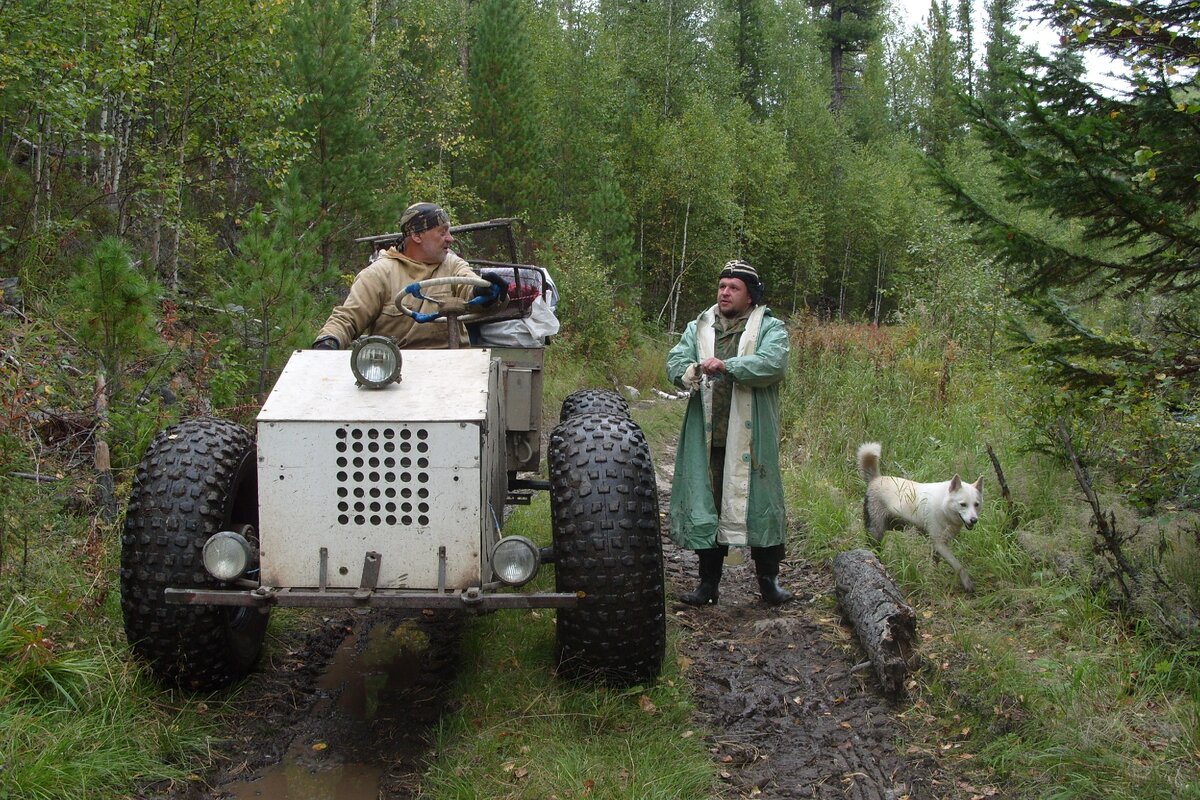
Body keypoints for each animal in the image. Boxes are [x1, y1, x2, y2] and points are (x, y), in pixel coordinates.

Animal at [859, 441, 979, 592]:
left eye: (976, 504)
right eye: (963, 504)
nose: (974, 520)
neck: (942, 504)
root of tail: (876, 479)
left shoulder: (939, 545)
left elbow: (936, 562)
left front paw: (934, 574)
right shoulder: (939, 543)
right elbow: (959, 566)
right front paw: (967, 583)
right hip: (876, 532)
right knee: (874, 549)